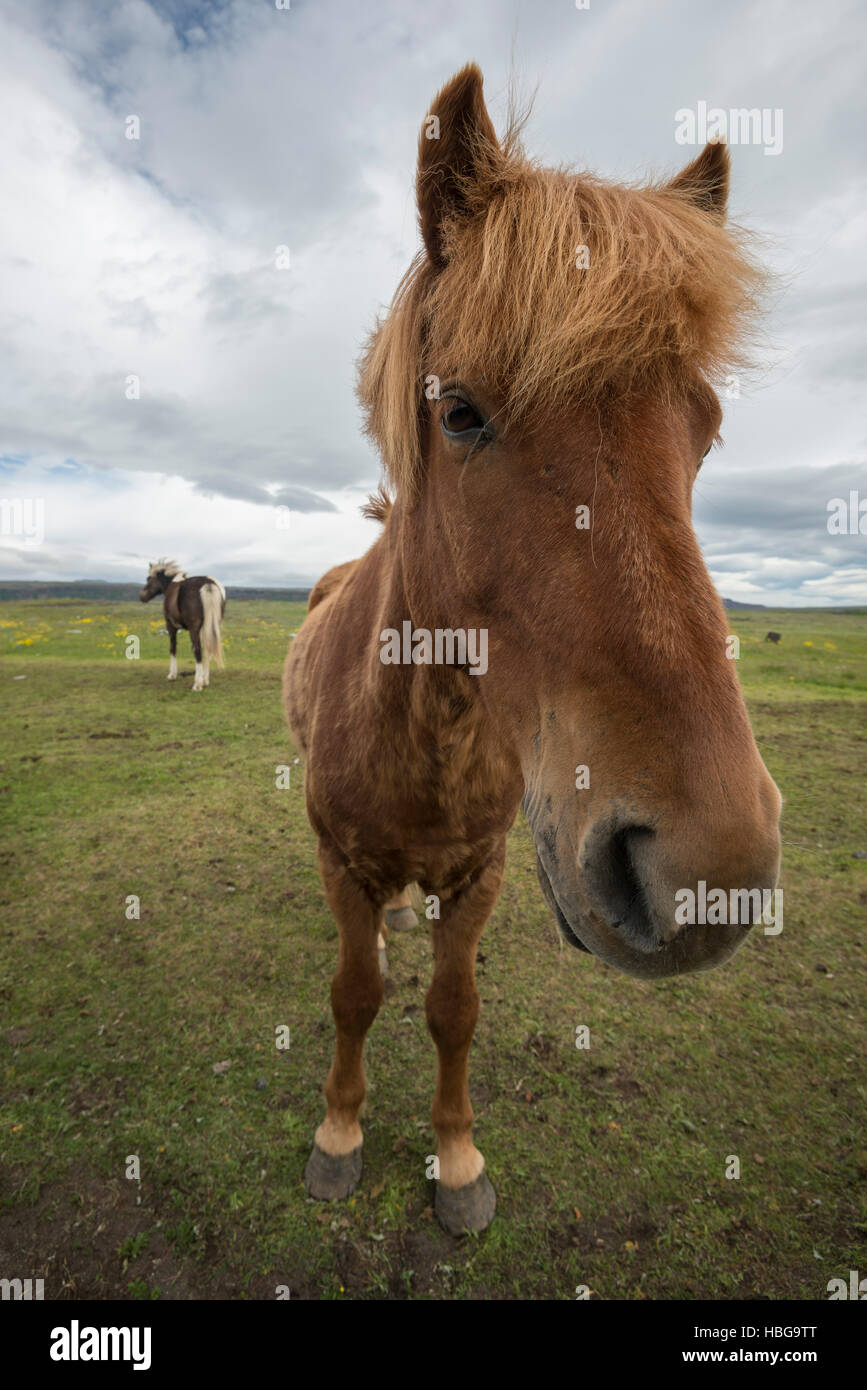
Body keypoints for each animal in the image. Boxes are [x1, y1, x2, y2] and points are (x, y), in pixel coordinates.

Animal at [139, 560, 226, 692]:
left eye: (148, 579)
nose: (142, 596)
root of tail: (207, 583)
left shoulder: (171, 626)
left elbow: (173, 648)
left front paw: (172, 675)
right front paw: (203, 679)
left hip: (193, 629)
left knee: (197, 650)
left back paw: (197, 684)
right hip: (210, 626)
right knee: (207, 650)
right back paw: (205, 681)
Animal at [283, 64, 782, 1235]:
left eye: (704, 427)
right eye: (459, 412)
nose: (708, 871)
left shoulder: (484, 871)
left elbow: (452, 1006)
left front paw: (457, 1160)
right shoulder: (341, 864)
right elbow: (355, 993)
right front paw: (339, 1134)